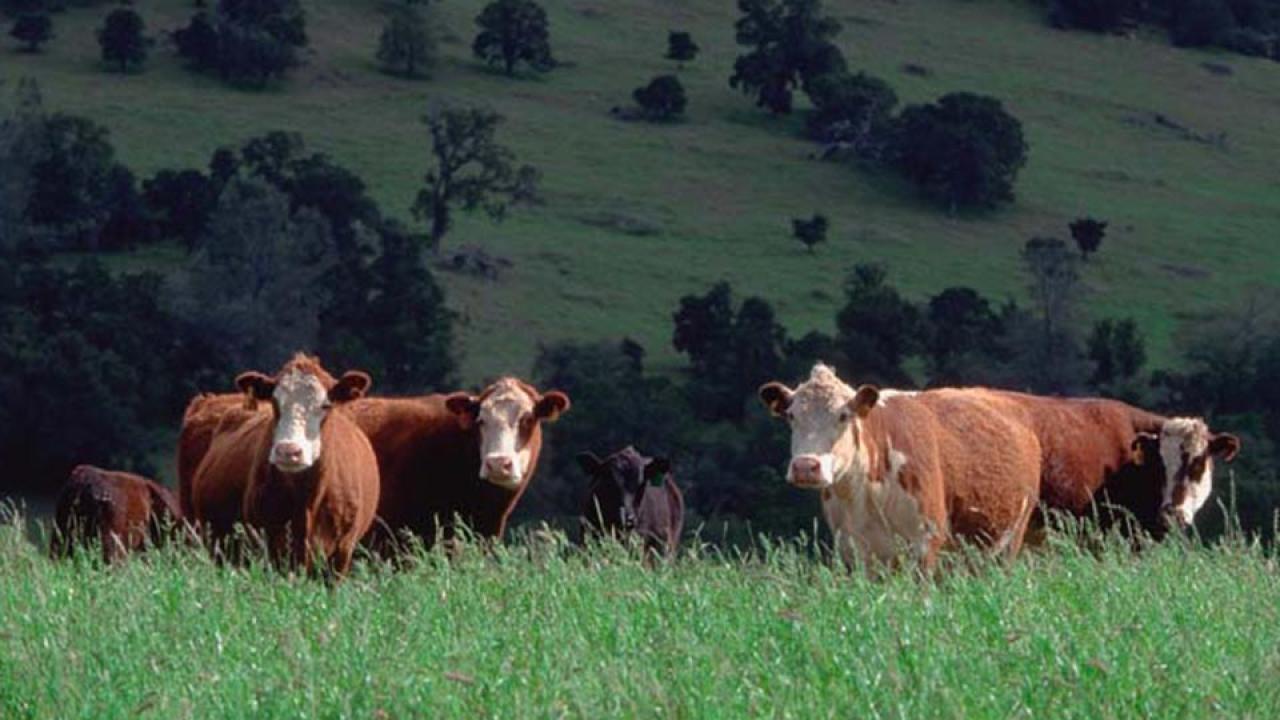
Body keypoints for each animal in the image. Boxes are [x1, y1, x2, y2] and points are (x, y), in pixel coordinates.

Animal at [758, 364, 1042, 573]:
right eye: (792, 416)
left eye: (843, 415)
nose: (806, 466)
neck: (866, 495)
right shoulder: (852, 550)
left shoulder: (925, 541)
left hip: (1009, 540)